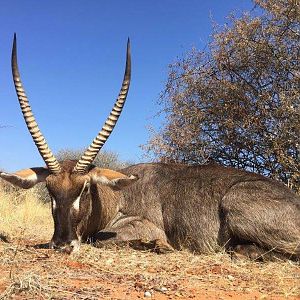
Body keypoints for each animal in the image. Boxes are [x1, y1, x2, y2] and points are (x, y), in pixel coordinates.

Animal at [0, 35, 300, 260]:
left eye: (83, 188)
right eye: (49, 190)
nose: (62, 245)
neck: (116, 197)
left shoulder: (143, 226)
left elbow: (101, 239)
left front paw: (158, 246)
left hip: (234, 203)